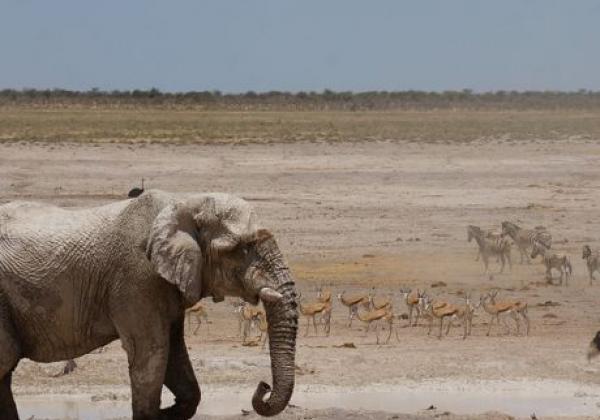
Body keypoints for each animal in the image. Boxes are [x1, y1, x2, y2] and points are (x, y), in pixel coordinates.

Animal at [0, 191, 298, 420]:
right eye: (241, 248)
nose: (263, 385)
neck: (184, 204)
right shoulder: (136, 280)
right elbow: (151, 355)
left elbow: (178, 361)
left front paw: (167, 412)